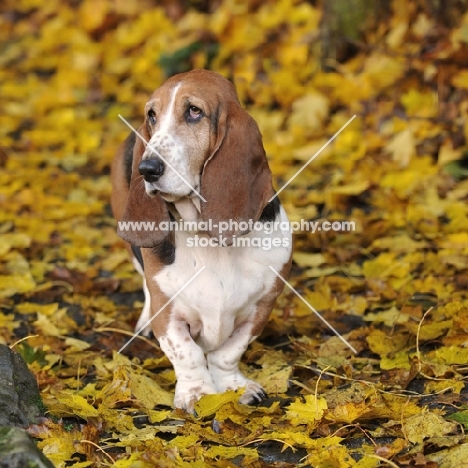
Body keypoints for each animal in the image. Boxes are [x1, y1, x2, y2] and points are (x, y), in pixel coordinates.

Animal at [111, 67, 290, 412]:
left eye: (194, 111)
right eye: (152, 115)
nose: (147, 168)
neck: (205, 236)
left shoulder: (261, 306)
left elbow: (226, 353)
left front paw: (234, 388)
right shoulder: (168, 313)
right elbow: (188, 354)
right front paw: (198, 394)